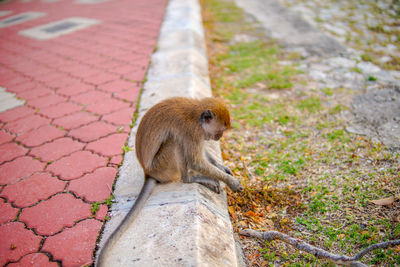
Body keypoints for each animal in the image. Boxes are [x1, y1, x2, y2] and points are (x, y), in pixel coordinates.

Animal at [97, 97, 242, 266]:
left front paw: (222, 167)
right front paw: (231, 182)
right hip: (162, 167)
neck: (196, 115)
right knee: (174, 140)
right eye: (220, 130)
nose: (219, 137)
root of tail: (148, 172)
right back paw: (191, 178)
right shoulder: (192, 132)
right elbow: (196, 162)